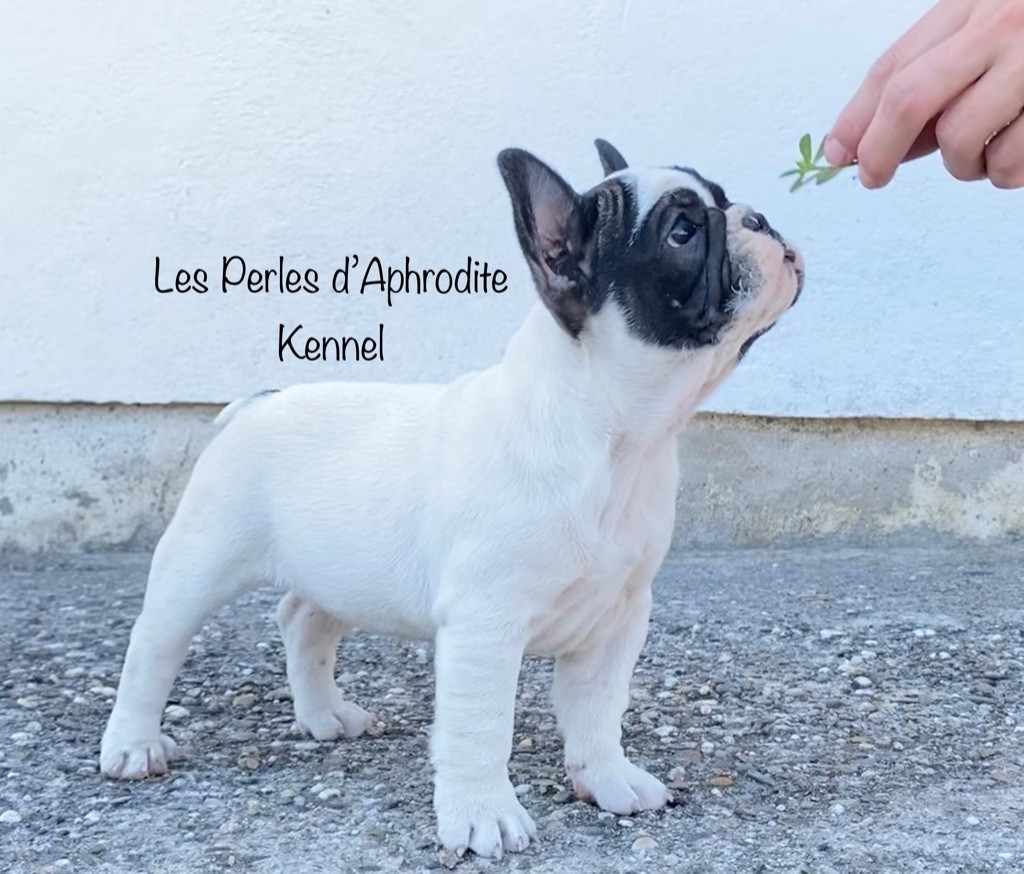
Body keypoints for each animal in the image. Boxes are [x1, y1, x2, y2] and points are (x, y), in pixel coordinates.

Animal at [100, 139, 804, 859]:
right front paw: (483, 814)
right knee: (153, 646)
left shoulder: (618, 616)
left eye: (722, 196)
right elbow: (481, 726)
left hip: (340, 569)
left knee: (303, 621)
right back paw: (133, 745)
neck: (615, 438)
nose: (759, 219)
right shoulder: (485, 625)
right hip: (202, 560)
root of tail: (258, 402)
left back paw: (326, 715)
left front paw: (609, 780)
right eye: (682, 232)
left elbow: (599, 710)